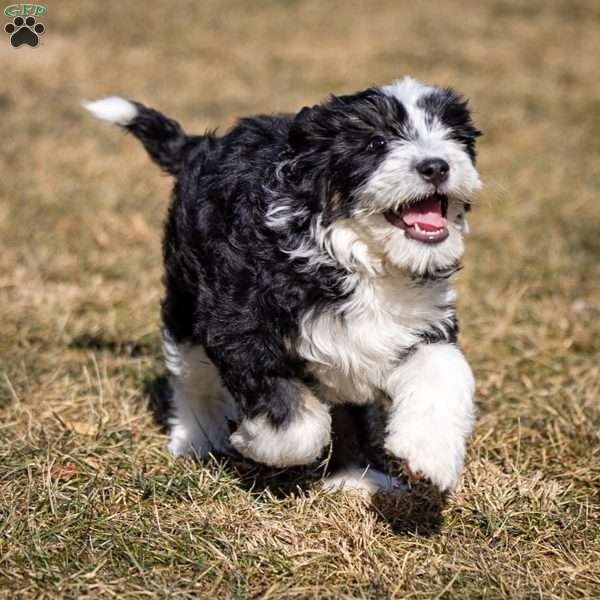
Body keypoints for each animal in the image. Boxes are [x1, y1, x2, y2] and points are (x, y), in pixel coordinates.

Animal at [85, 76, 482, 492]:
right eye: (377, 143)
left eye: (453, 136)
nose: (436, 166)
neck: (359, 259)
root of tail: (202, 147)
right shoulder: (241, 326)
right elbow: (295, 422)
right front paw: (253, 441)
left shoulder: (419, 323)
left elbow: (445, 370)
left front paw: (430, 454)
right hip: (186, 295)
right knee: (189, 374)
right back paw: (196, 438)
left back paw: (355, 475)